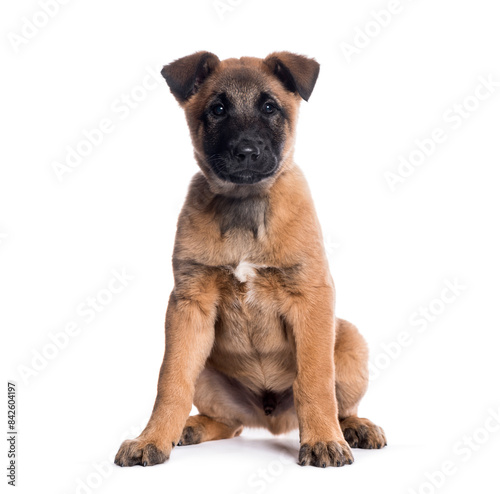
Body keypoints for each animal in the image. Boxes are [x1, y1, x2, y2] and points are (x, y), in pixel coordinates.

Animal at [114, 52, 386, 468]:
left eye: (270, 107)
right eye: (218, 109)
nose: (245, 152)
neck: (244, 204)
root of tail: (269, 417)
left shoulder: (311, 297)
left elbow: (315, 380)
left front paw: (323, 440)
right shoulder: (188, 305)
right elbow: (171, 381)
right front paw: (152, 439)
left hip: (350, 341)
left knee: (340, 403)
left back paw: (353, 428)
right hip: (208, 371)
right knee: (230, 424)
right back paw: (191, 427)